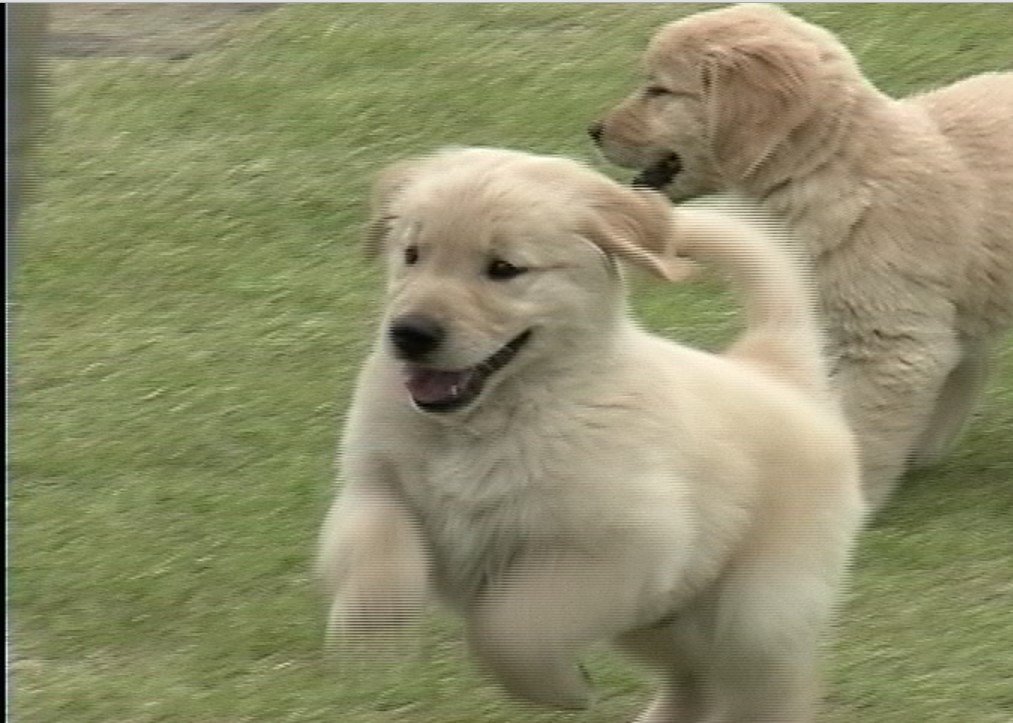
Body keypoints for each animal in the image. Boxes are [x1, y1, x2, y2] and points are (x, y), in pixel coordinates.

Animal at [316, 147, 863, 720]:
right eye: (412, 254)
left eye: (504, 269)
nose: (409, 333)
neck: (489, 419)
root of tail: (775, 366)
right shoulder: (373, 479)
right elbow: (375, 541)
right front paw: (370, 632)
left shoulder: (620, 547)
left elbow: (511, 627)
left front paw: (559, 690)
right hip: (662, 621)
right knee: (694, 678)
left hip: (756, 611)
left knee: (767, 688)